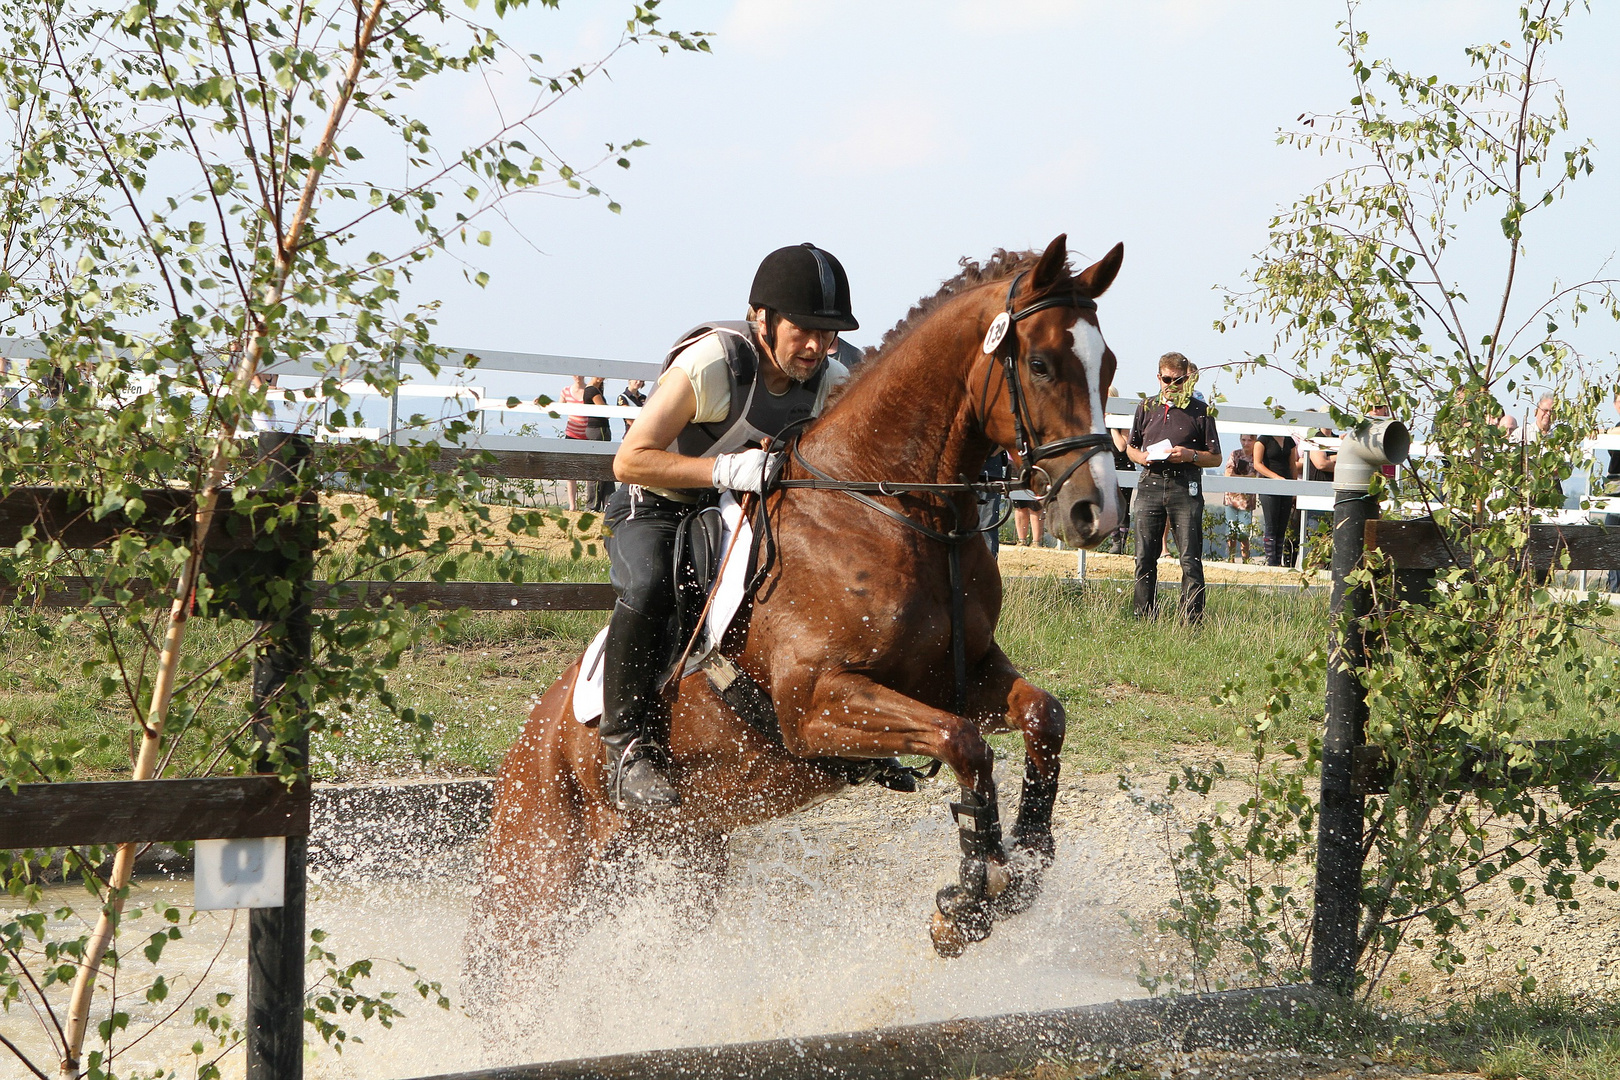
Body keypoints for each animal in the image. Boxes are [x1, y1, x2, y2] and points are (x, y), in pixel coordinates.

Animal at [473, 234, 1121, 990]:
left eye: (1109, 366)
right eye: (1042, 365)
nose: (1095, 513)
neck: (892, 508)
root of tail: (523, 749)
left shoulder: (955, 676)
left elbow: (1043, 714)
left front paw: (1025, 859)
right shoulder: (815, 704)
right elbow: (964, 741)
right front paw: (973, 892)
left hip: (682, 861)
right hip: (538, 882)